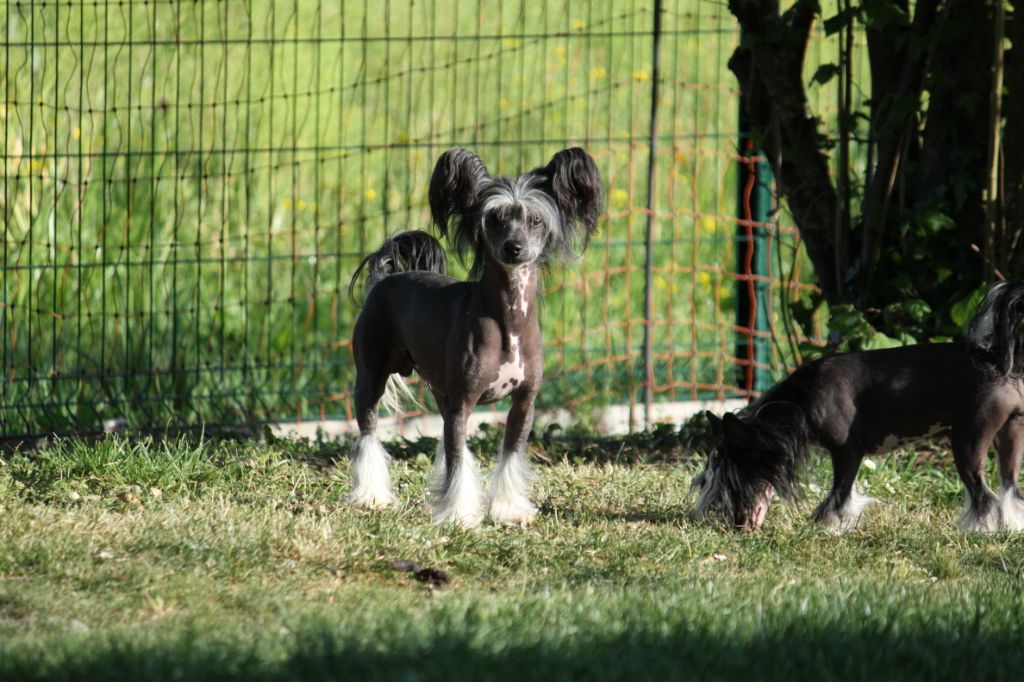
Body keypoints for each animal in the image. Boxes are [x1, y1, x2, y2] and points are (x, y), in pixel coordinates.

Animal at [346, 147, 603, 526]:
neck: (509, 321)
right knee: (369, 432)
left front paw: (509, 509)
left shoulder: (524, 402)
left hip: (440, 389)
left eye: (535, 220)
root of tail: (385, 276)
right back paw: (371, 495)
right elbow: (455, 459)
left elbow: (508, 454)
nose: (514, 247)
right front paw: (459, 515)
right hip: (371, 376)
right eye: (495, 218)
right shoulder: (462, 402)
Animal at [693, 281, 1024, 533]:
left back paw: (978, 531)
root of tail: (997, 362)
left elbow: (837, 497)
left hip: (969, 439)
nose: (738, 526)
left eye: (735, 481)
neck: (801, 400)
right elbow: (845, 495)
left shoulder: (848, 452)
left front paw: (824, 529)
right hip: (1010, 435)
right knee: (1010, 491)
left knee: (985, 497)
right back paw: (1010, 528)